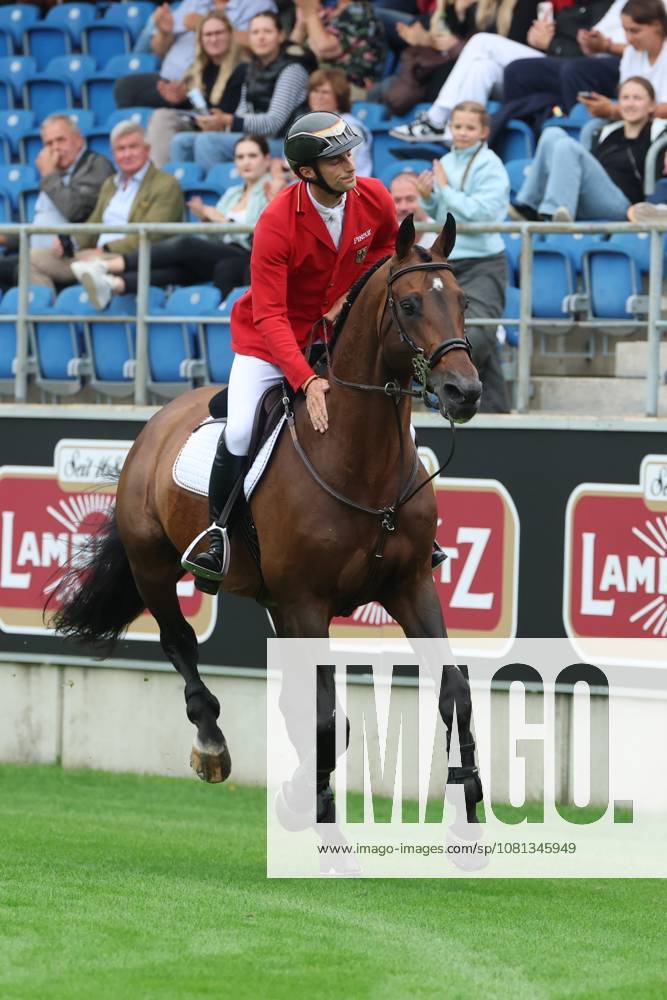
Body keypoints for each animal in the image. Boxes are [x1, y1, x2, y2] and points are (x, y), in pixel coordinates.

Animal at [50, 213, 485, 823]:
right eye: (409, 304)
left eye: (463, 301)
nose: (464, 390)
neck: (359, 458)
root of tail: (158, 421)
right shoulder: (306, 603)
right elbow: (328, 720)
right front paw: (308, 798)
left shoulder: (410, 585)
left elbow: (454, 691)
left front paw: (467, 790)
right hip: (154, 566)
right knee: (180, 643)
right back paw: (211, 744)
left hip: (271, 599)